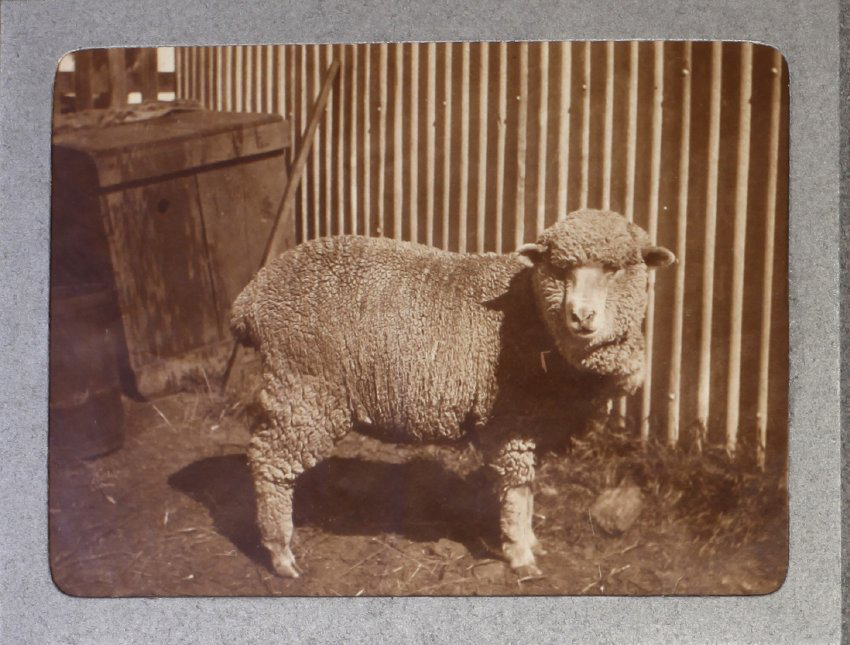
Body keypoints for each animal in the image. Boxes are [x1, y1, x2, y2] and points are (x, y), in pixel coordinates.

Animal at [231, 209, 675, 578]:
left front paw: (531, 543)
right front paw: (520, 556)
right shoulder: (509, 424)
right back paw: (281, 553)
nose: (581, 317)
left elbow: (528, 489)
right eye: (560, 269)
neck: (531, 314)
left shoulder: (533, 425)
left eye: (616, 269)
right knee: (268, 461)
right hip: (305, 389)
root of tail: (251, 296)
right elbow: (516, 494)